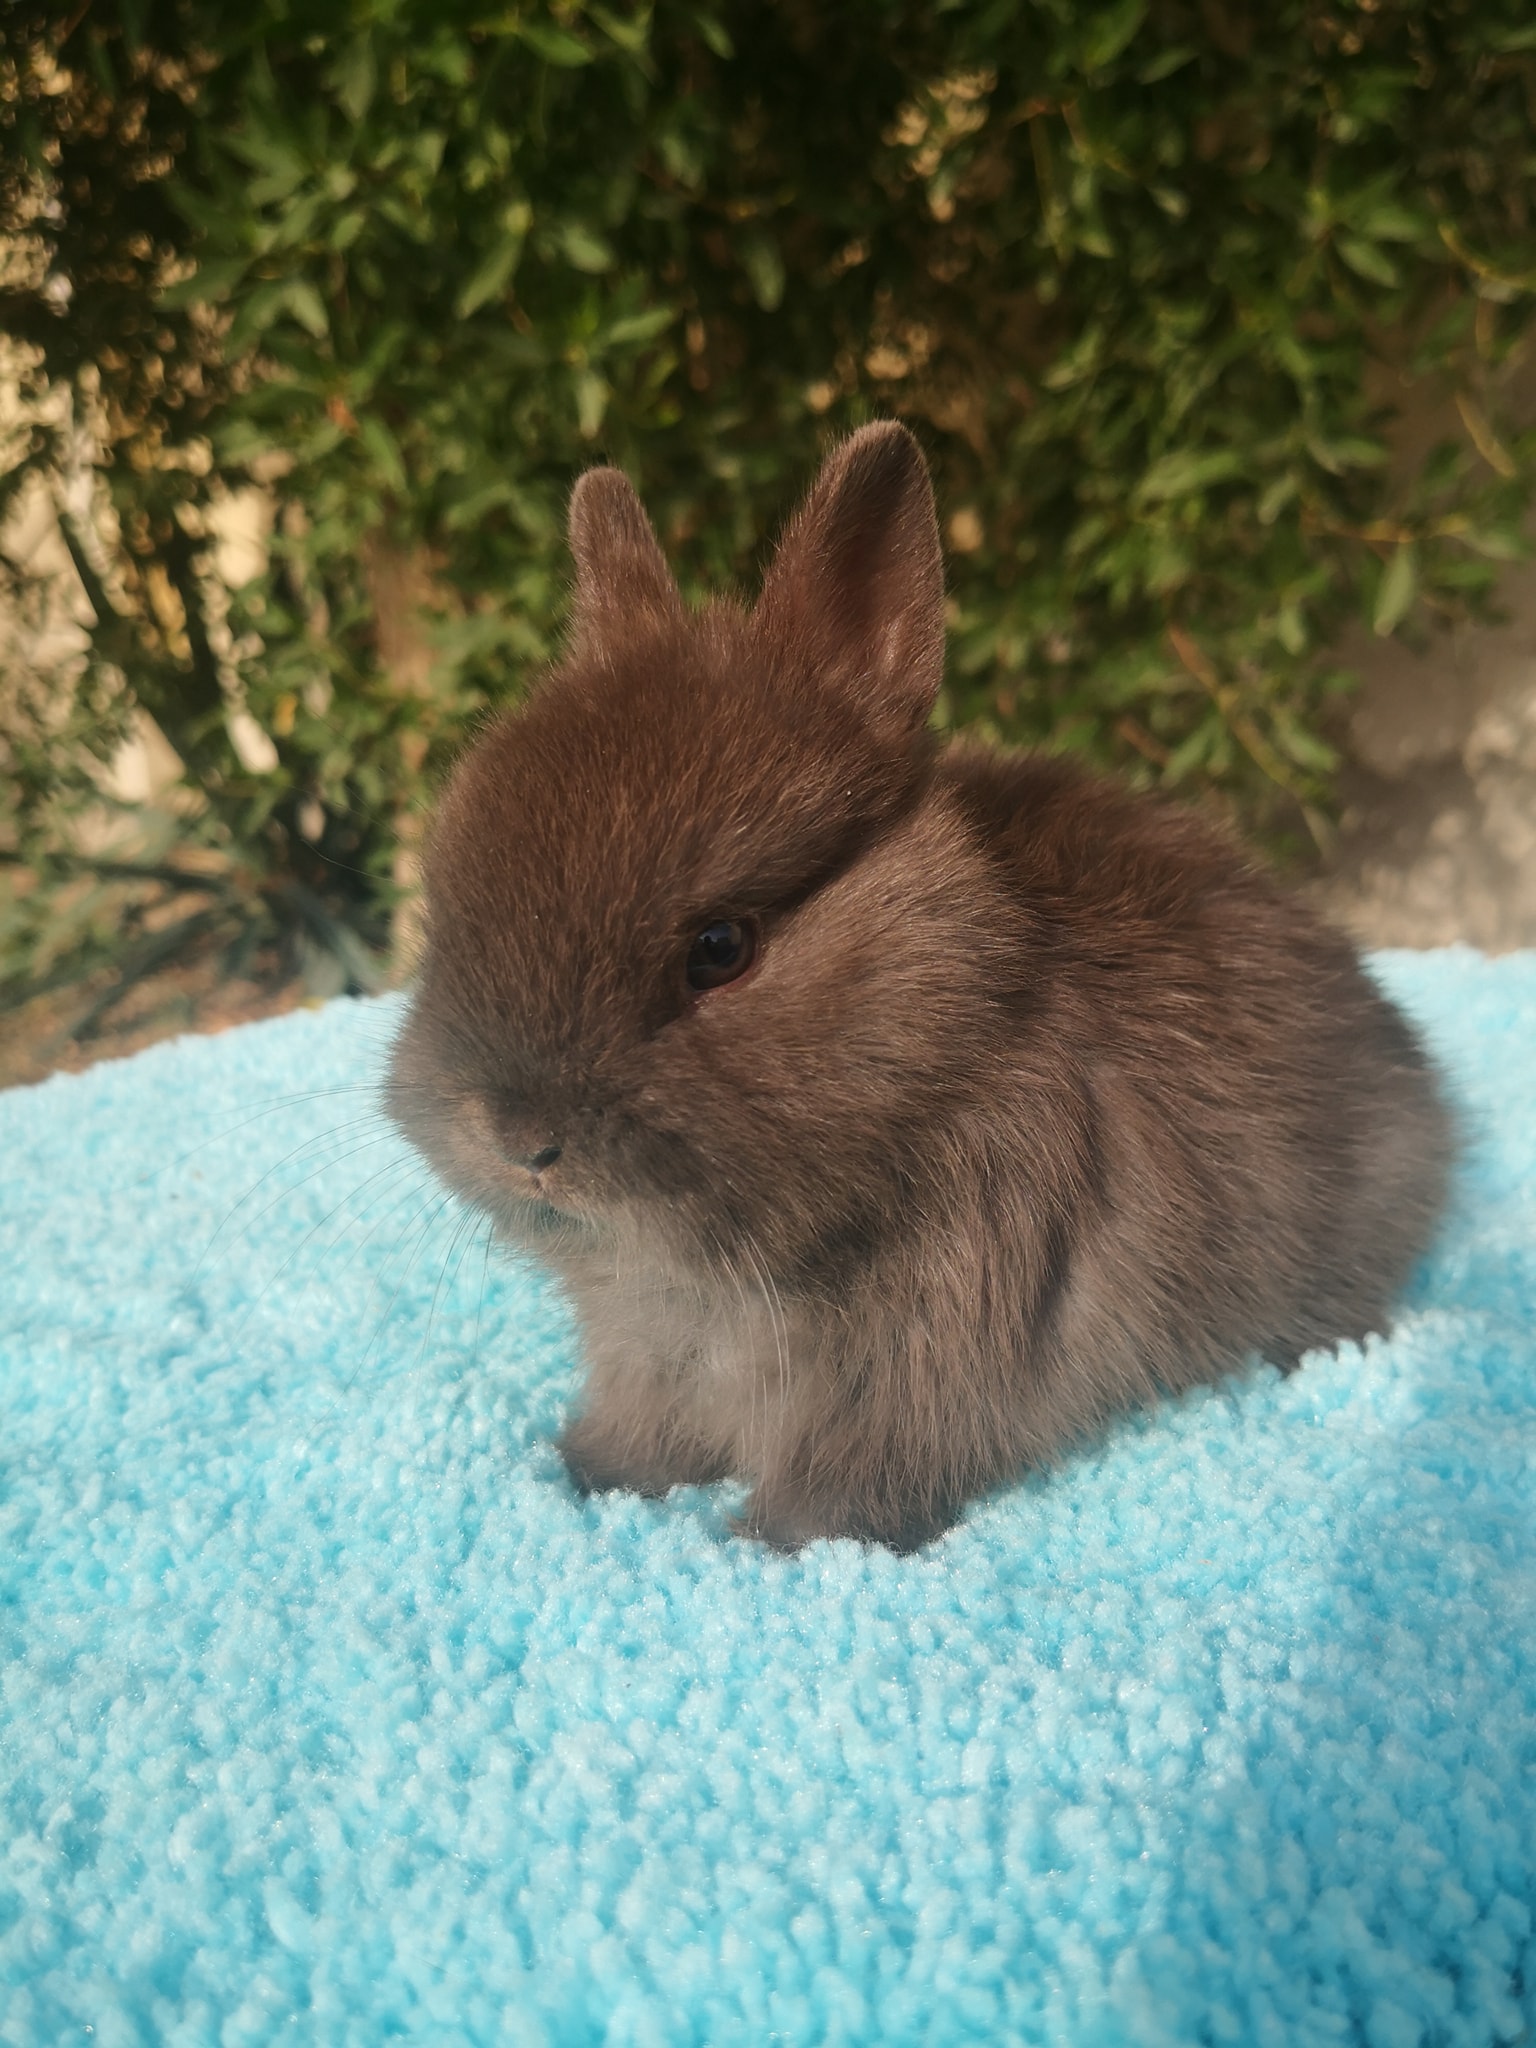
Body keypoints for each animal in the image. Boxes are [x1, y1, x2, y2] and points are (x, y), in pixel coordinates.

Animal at [387, 421, 1454, 1551]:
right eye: (446, 899)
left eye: (721, 946)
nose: (518, 1141)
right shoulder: (654, 1352)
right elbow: (647, 1426)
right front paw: (587, 1473)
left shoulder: (927, 1354)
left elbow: (851, 1480)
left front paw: (767, 1543)